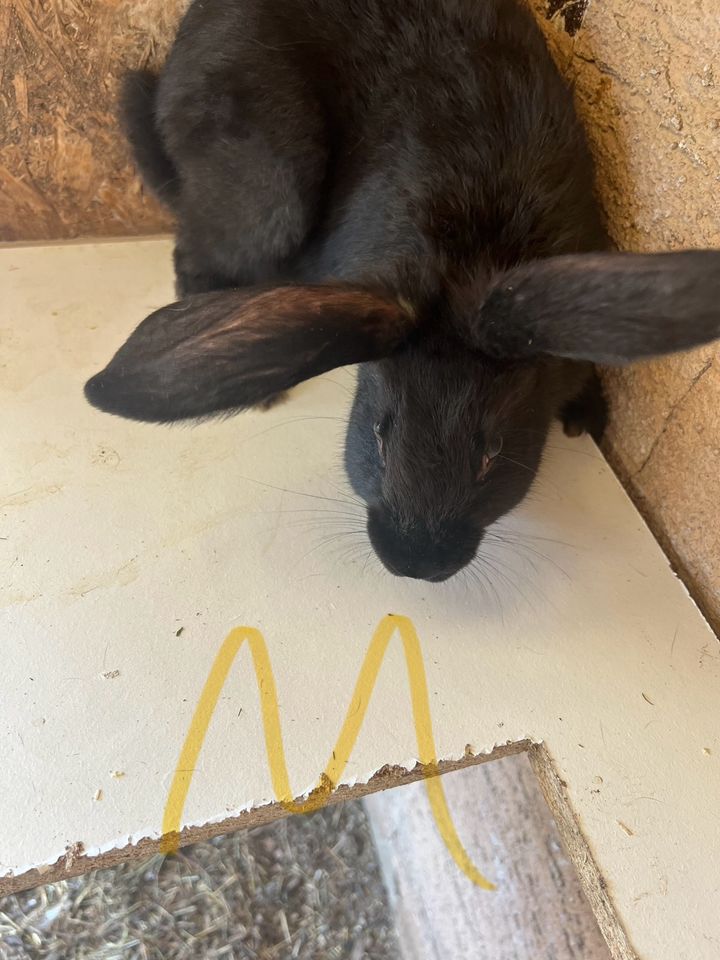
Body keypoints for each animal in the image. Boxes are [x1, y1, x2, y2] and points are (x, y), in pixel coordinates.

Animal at [86, 0, 720, 580]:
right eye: (380, 435)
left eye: (491, 454)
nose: (414, 562)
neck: (465, 257)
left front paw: (585, 418)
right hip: (271, 186)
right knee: (197, 245)